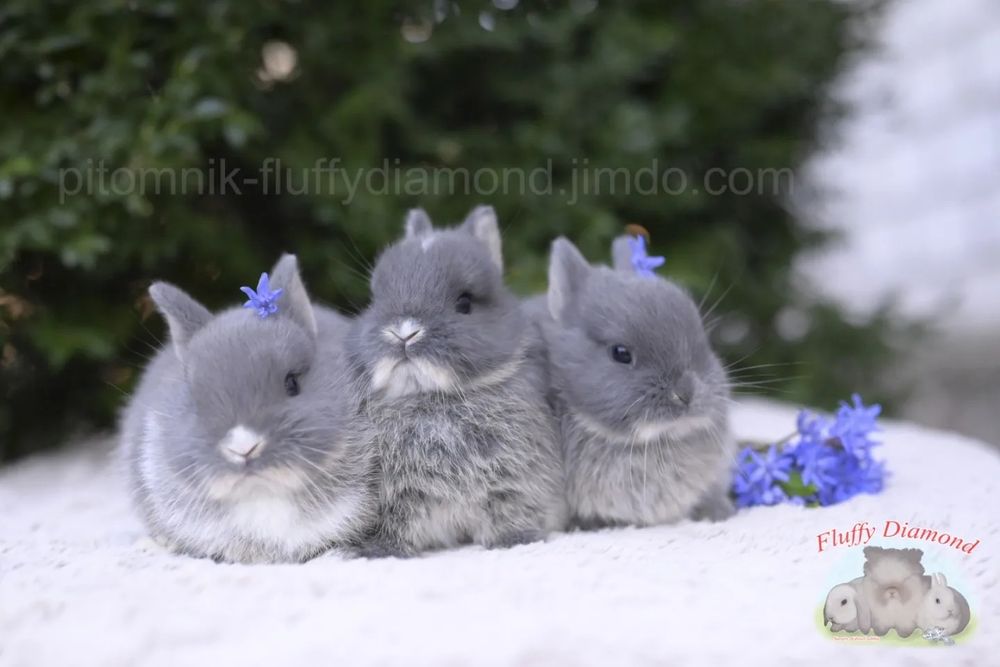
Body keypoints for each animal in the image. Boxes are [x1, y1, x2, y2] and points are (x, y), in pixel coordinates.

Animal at [344, 206, 567, 557]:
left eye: (465, 303)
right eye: (374, 300)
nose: (404, 333)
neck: (432, 399)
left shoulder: (514, 482)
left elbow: (511, 510)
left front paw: (515, 541)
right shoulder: (393, 497)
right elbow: (393, 524)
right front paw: (378, 551)